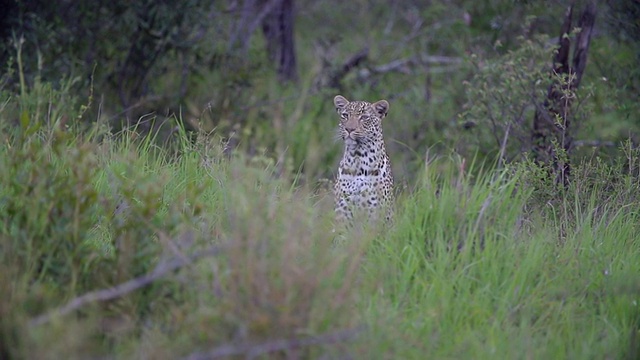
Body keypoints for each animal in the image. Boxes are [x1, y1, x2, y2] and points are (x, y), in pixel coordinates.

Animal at [332, 95, 392, 225]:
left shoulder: (375, 212)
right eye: (345, 115)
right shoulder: (343, 211)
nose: (349, 129)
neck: (357, 158)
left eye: (364, 117)